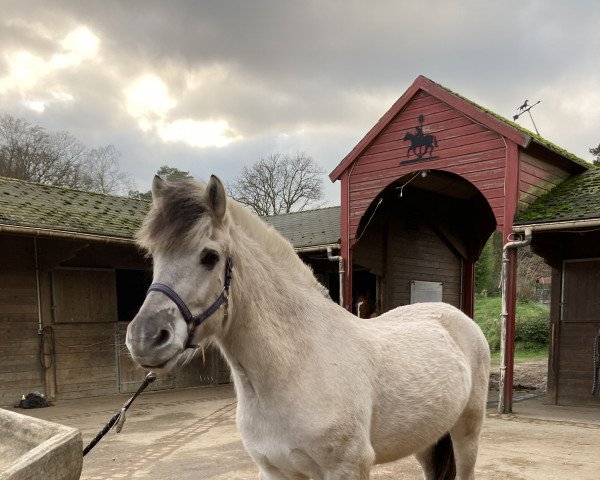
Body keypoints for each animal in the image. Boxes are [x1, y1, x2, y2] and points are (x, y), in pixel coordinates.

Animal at [125, 176, 488, 480]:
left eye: (209, 257)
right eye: (153, 255)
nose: (145, 339)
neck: (298, 366)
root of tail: (457, 318)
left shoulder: (347, 469)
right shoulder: (274, 471)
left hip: (467, 433)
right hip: (427, 440)